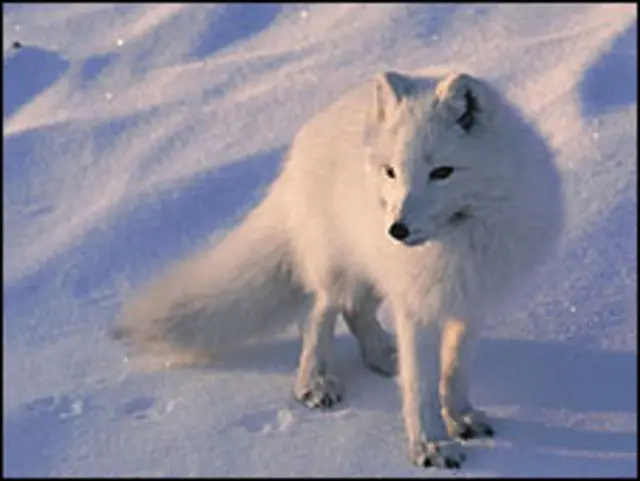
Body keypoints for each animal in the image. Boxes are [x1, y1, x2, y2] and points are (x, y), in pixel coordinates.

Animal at [113, 68, 565, 470]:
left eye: (442, 172)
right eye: (391, 172)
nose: (397, 230)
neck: (459, 237)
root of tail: (305, 138)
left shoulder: (473, 302)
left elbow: (454, 371)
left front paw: (462, 418)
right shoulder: (415, 304)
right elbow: (419, 384)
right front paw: (430, 446)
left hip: (370, 268)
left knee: (355, 310)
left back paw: (383, 357)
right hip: (336, 266)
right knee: (318, 312)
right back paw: (313, 382)